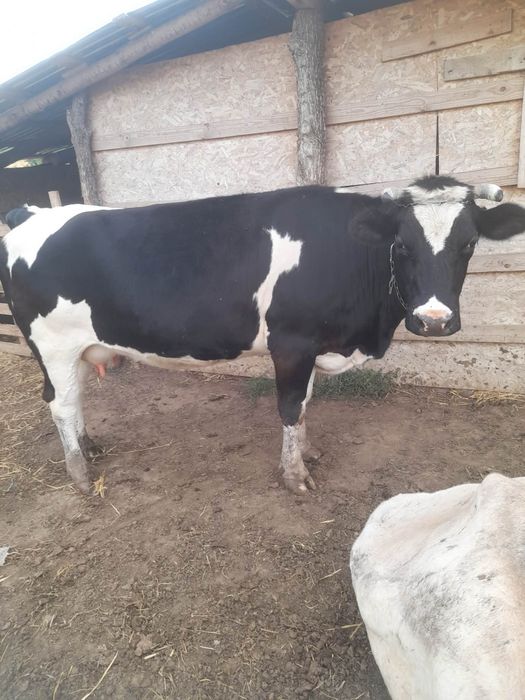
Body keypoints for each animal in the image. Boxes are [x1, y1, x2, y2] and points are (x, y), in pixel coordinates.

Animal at [0, 175, 524, 495]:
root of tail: (30, 213)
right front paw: (295, 475)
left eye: (469, 244)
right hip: (52, 344)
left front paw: (307, 451)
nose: (434, 319)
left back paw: (87, 445)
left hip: (72, 348)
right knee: (61, 403)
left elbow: (307, 402)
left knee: (72, 399)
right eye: (402, 245)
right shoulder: (291, 342)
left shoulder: (312, 346)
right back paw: (80, 473)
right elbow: (291, 406)